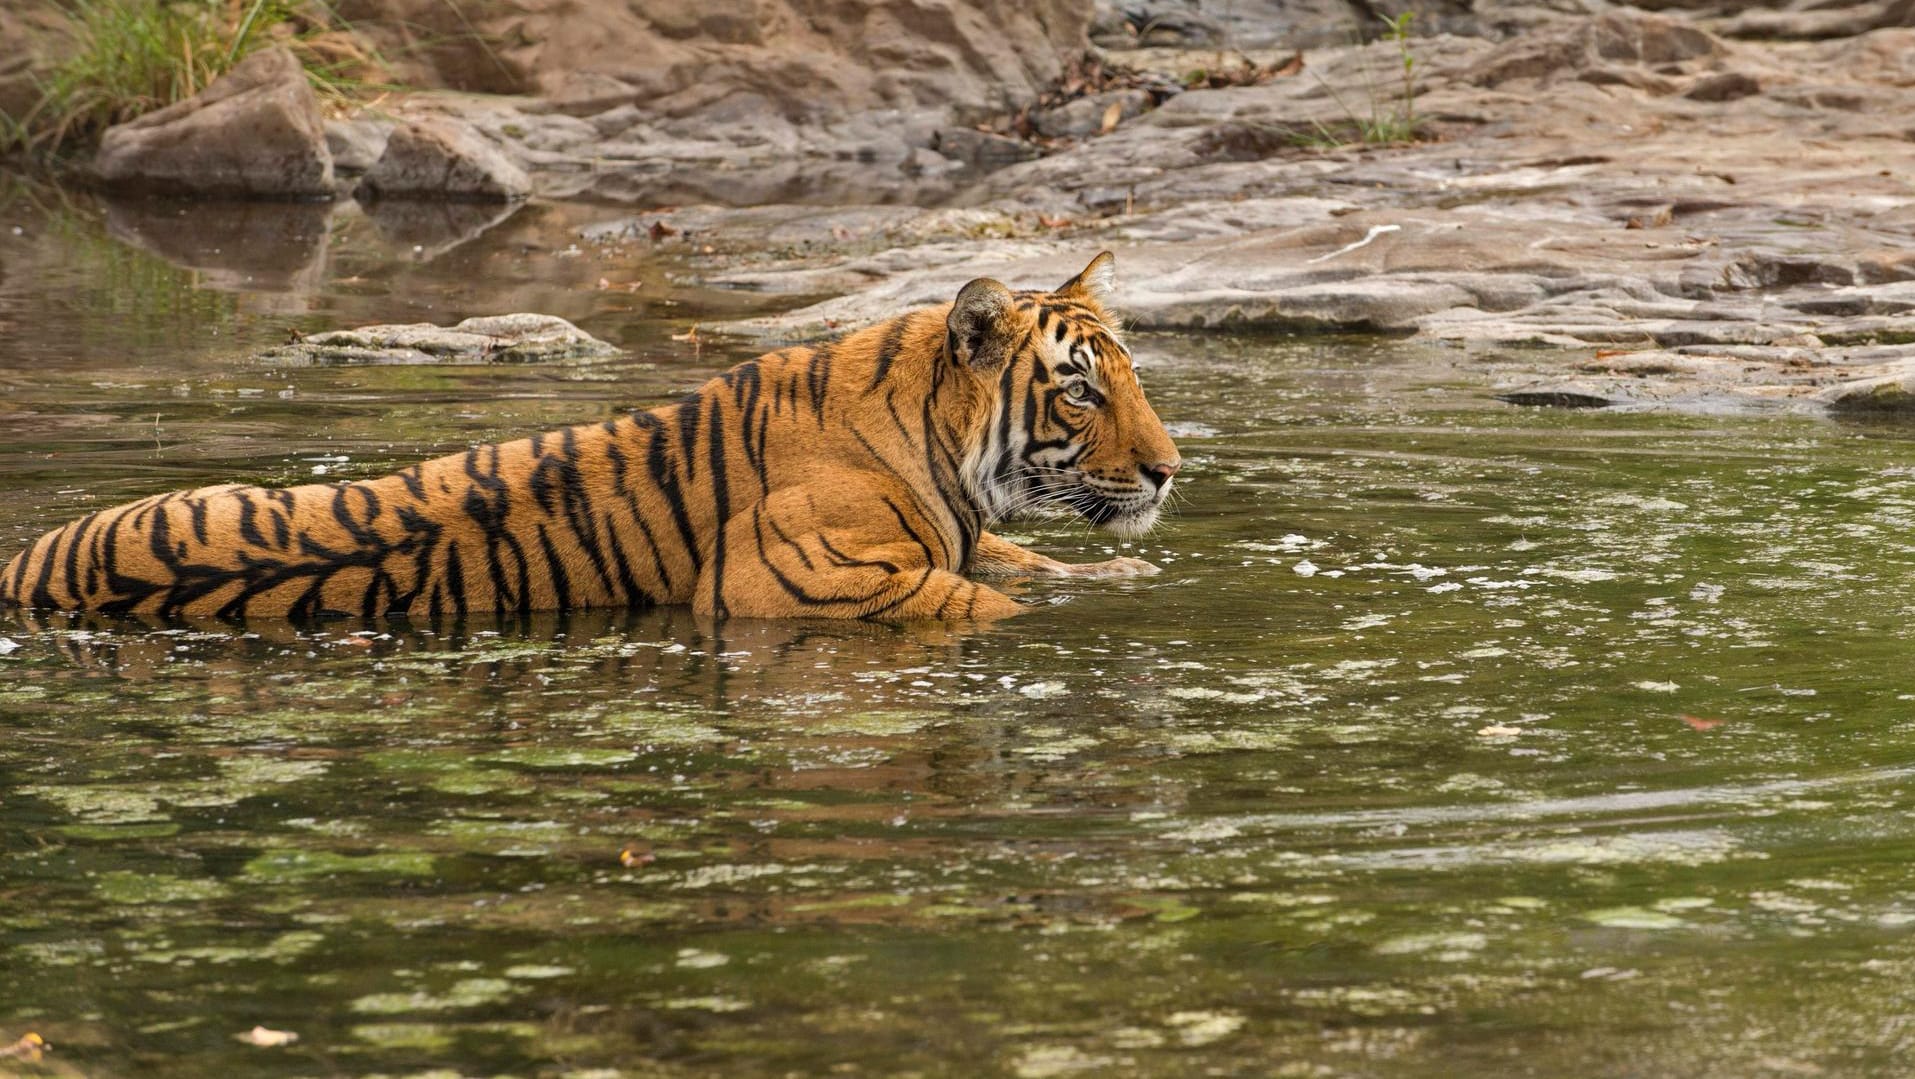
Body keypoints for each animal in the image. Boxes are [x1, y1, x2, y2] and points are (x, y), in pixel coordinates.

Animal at [0, 254, 1171, 624]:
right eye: (1077, 392)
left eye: (1129, 374)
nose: (1167, 471)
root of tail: (25, 560)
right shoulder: (790, 583)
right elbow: (985, 604)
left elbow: (1018, 563)